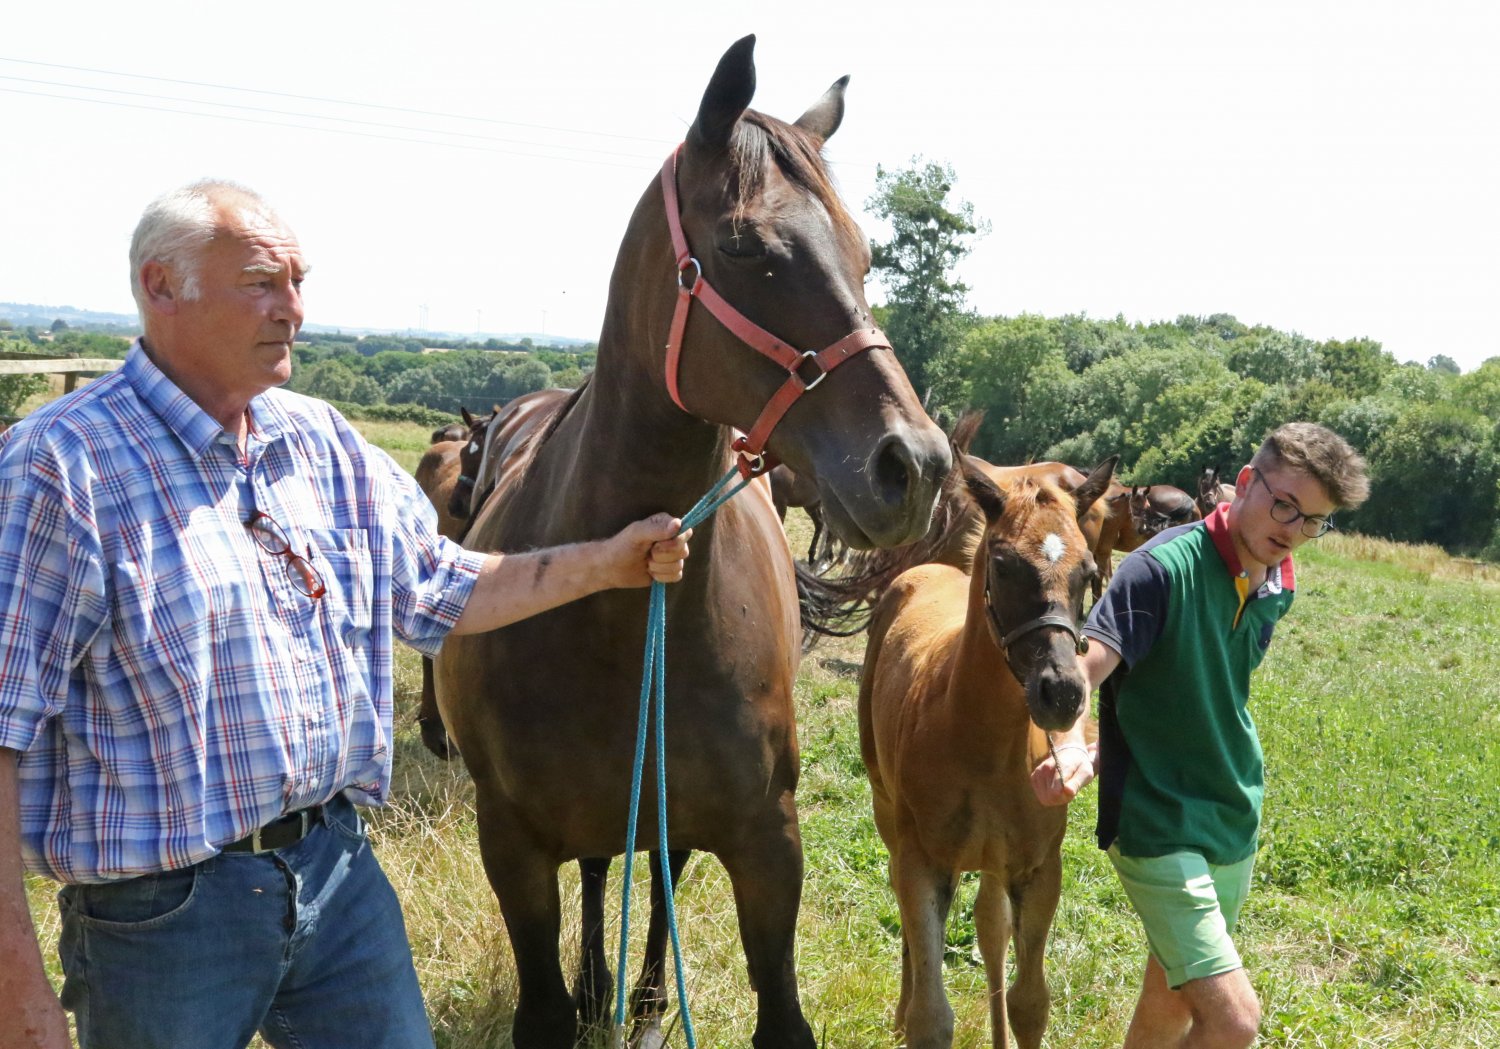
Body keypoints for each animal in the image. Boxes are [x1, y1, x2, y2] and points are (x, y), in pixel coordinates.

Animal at [434, 36, 950, 1049]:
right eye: (744, 245)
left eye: (866, 255)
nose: (913, 464)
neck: (617, 619)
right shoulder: (510, 843)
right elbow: (545, 1003)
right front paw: (579, 996)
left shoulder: (767, 839)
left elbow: (775, 1007)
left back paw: (634, 999)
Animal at [858, 454, 1111, 1048]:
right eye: (1002, 564)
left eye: (1089, 572)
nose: (1063, 693)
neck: (983, 744)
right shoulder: (923, 862)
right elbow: (931, 1016)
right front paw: (911, 1015)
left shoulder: (1038, 869)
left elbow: (1030, 1002)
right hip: (886, 809)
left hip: (996, 860)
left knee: (990, 926)